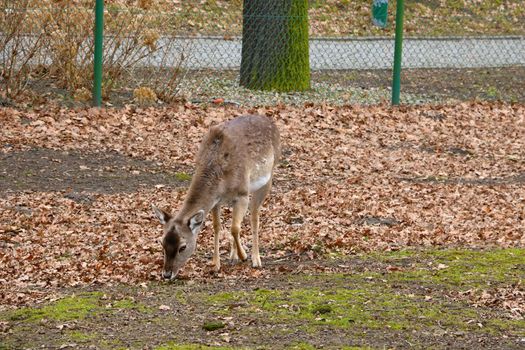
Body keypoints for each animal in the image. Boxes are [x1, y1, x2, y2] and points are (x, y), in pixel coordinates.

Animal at [151, 115, 280, 278]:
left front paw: (244, 255)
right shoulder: (216, 201)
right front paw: (216, 264)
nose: (167, 274)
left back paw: (255, 259)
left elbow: (235, 228)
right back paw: (233, 256)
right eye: (162, 243)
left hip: (267, 178)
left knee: (254, 216)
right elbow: (217, 227)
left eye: (183, 246)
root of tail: (271, 121)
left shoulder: (242, 193)